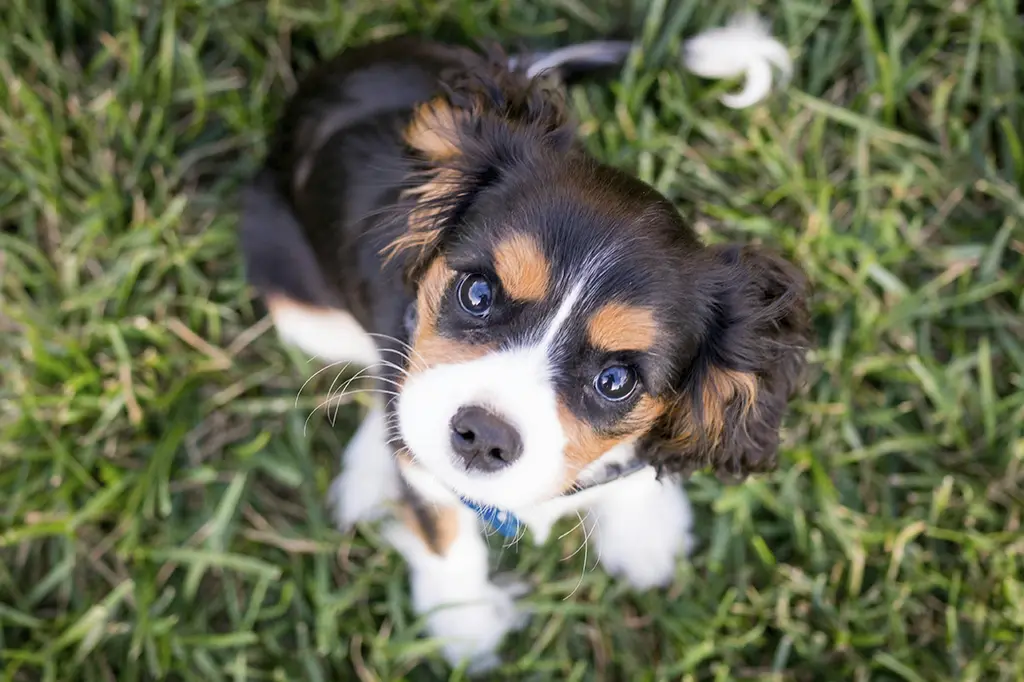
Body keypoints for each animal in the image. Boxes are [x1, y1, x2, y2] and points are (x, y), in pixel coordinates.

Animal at [239, 18, 806, 671]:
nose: (484, 436)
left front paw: (644, 533)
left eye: (616, 381)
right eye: (478, 292)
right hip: (298, 299)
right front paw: (464, 629)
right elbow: (442, 527)